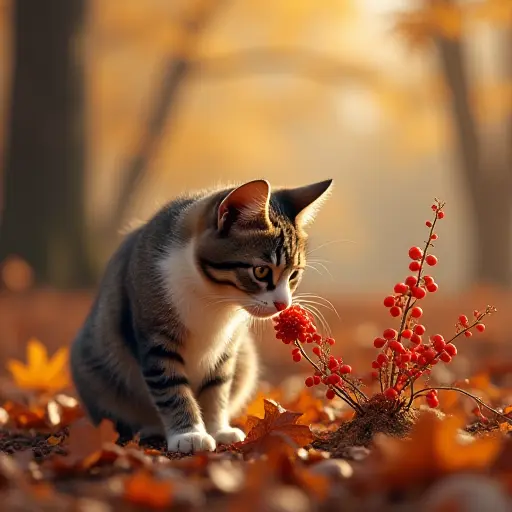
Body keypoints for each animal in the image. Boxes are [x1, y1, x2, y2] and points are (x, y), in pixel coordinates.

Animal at [70, 179, 334, 452]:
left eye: (294, 274)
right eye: (261, 271)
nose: (283, 304)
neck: (214, 298)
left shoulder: (227, 347)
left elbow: (217, 388)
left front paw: (217, 429)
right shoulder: (156, 337)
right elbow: (171, 388)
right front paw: (189, 434)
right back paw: (149, 428)